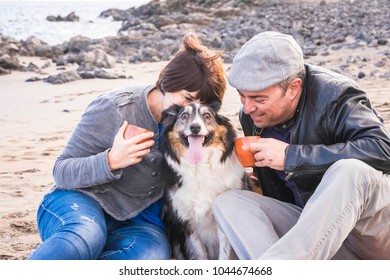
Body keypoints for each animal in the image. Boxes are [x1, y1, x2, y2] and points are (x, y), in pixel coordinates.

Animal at [161, 101, 250, 260]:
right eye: (184, 115)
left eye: (207, 115)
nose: (195, 128)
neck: (201, 169)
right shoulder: (187, 222)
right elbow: (200, 255)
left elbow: (224, 255)